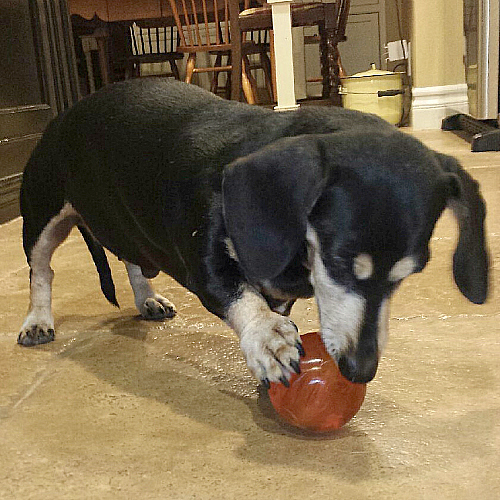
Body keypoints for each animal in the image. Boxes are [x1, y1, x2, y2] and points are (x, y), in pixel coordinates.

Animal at [18, 80, 488, 386]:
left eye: (409, 275)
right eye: (339, 259)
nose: (360, 371)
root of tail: (62, 114)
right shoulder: (204, 261)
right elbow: (239, 296)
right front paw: (266, 339)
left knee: (133, 260)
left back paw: (147, 299)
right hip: (40, 214)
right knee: (41, 271)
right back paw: (38, 321)